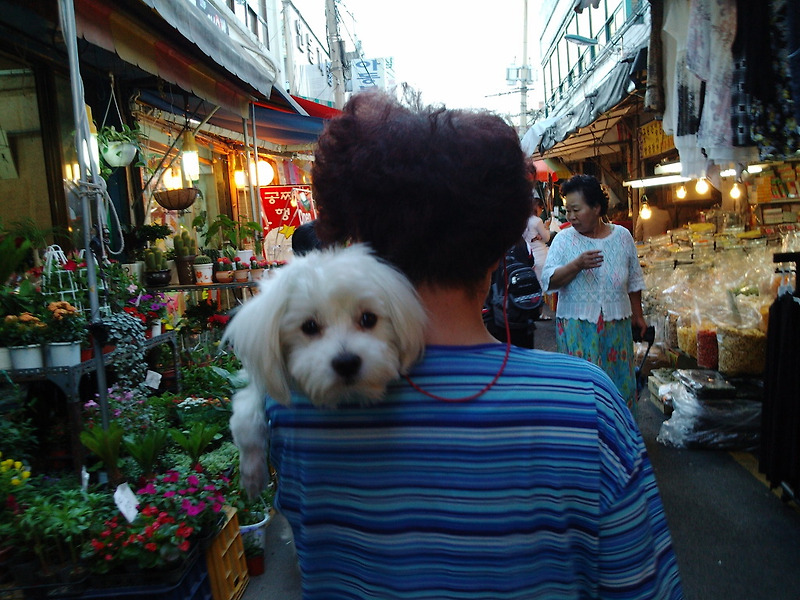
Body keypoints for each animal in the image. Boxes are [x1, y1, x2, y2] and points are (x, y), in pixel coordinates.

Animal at [222, 241, 428, 494]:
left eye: (368, 319)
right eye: (309, 326)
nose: (347, 363)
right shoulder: (262, 380)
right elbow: (245, 416)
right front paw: (252, 474)